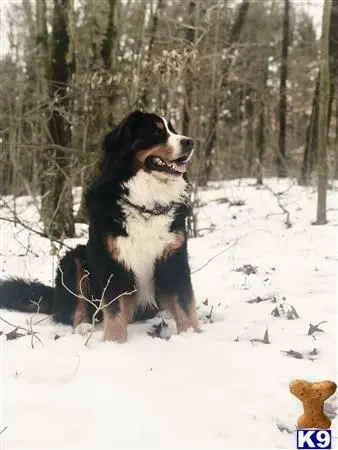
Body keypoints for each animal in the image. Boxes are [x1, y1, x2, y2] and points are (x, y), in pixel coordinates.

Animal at [0, 110, 199, 342]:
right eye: (157, 132)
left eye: (173, 130)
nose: (190, 142)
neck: (146, 204)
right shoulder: (112, 261)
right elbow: (115, 309)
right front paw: (114, 343)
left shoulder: (174, 258)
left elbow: (184, 304)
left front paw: (192, 336)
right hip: (74, 259)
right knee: (78, 307)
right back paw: (83, 328)